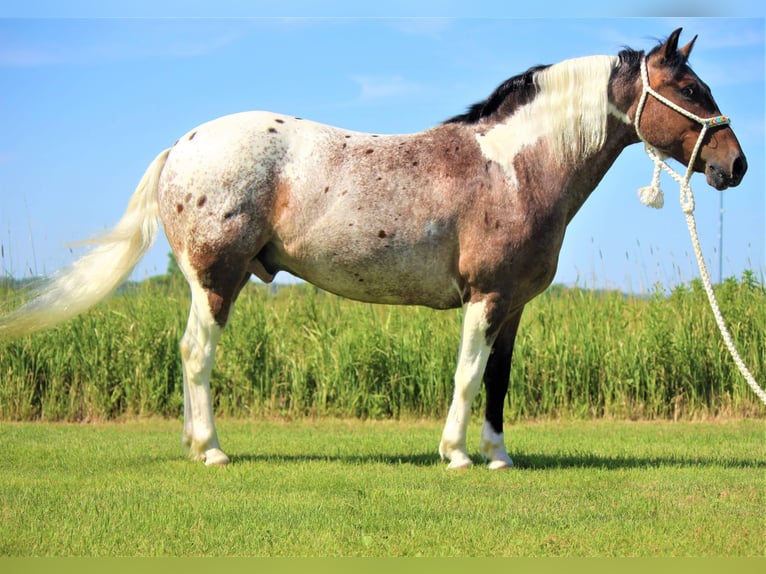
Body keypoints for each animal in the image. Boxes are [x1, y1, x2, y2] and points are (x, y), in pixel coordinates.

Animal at [0, 29, 748, 470]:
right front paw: (456, 455)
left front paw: (499, 457)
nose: (735, 165)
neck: (514, 166)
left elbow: (499, 382)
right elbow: (467, 376)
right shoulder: (486, 299)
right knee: (196, 354)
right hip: (218, 278)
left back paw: (193, 445)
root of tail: (182, 145)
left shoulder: (513, 306)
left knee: (187, 353)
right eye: (688, 88)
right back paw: (211, 450)